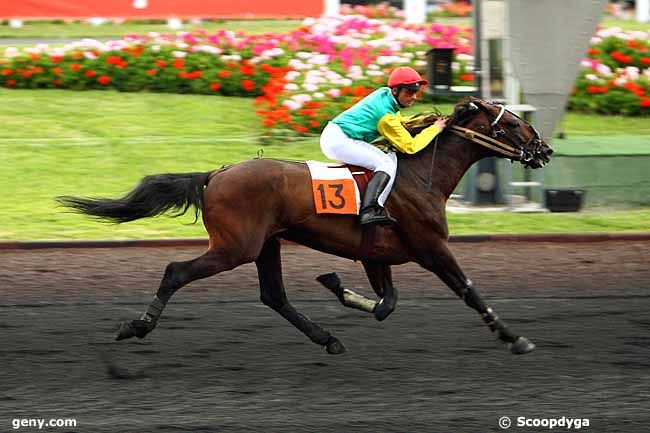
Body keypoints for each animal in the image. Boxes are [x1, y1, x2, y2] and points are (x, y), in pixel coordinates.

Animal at [57, 97, 552, 354]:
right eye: (513, 123)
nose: (544, 150)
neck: (418, 176)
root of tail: (215, 175)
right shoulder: (431, 248)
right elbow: (468, 289)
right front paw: (514, 337)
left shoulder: (376, 254)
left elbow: (385, 303)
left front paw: (337, 285)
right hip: (235, 247)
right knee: (176, 271)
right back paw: (136, 326)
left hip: (266, 245)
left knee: (274, 296)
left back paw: (327, 338)